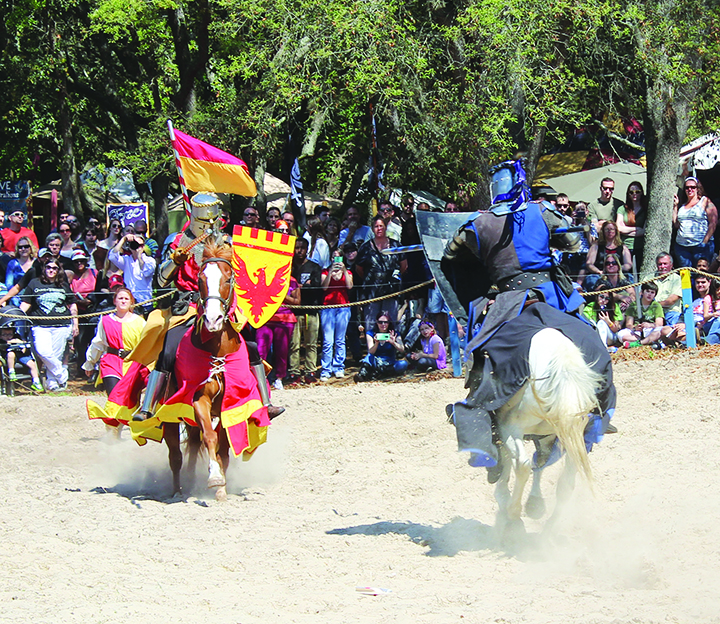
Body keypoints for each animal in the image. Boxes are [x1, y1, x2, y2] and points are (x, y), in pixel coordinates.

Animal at [496, 326, 600, 532]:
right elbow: (542, 460)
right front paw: (535, 503)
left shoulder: (505, 422)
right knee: (564, 479)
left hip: (513, 425)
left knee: (522, 464)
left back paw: (513, 510)